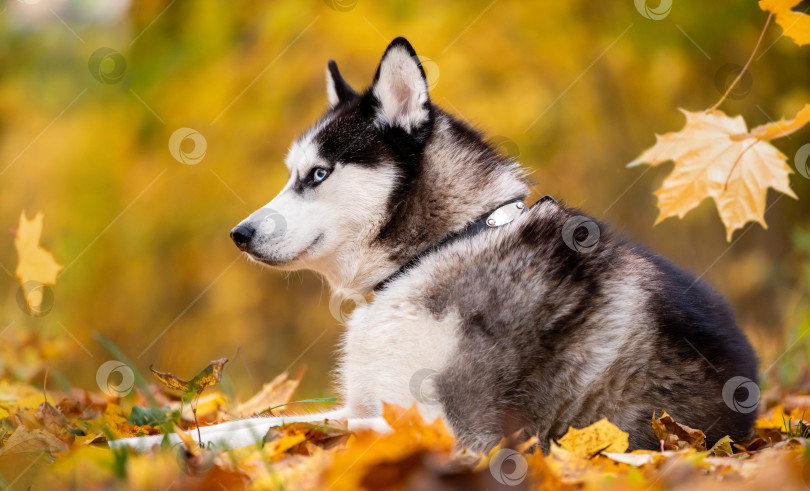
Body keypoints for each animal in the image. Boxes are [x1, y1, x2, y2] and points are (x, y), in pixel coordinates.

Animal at [112, 37, 756, 454]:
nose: (239, 234)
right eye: (291, 173)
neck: (443, 247)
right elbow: (241, 427)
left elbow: (296, 430)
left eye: (317, 175)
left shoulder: (458, 432)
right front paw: (135, 444)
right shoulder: (370, 401)